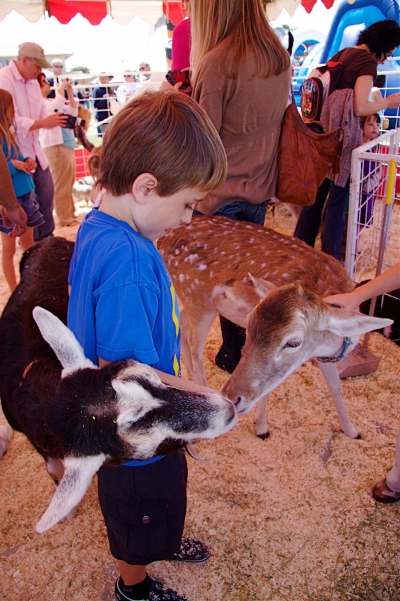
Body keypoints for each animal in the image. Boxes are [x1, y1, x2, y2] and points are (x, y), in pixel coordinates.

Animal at [0, 237, 236, 532]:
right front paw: (67, 513)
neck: (28, 380)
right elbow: (54, 469)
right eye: (145, 450)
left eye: (149, 376)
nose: (228, 410)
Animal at [158, 213, 392, 438]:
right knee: (194, 344)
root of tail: (162, 239)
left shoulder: (321, 354)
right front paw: (262, 427)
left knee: (182, 329)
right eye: (248, 324)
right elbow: (268, 388)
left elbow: (335, 387)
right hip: (197, 298)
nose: (233, 396)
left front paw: (352, 431)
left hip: (191, 300)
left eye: (294, 342)